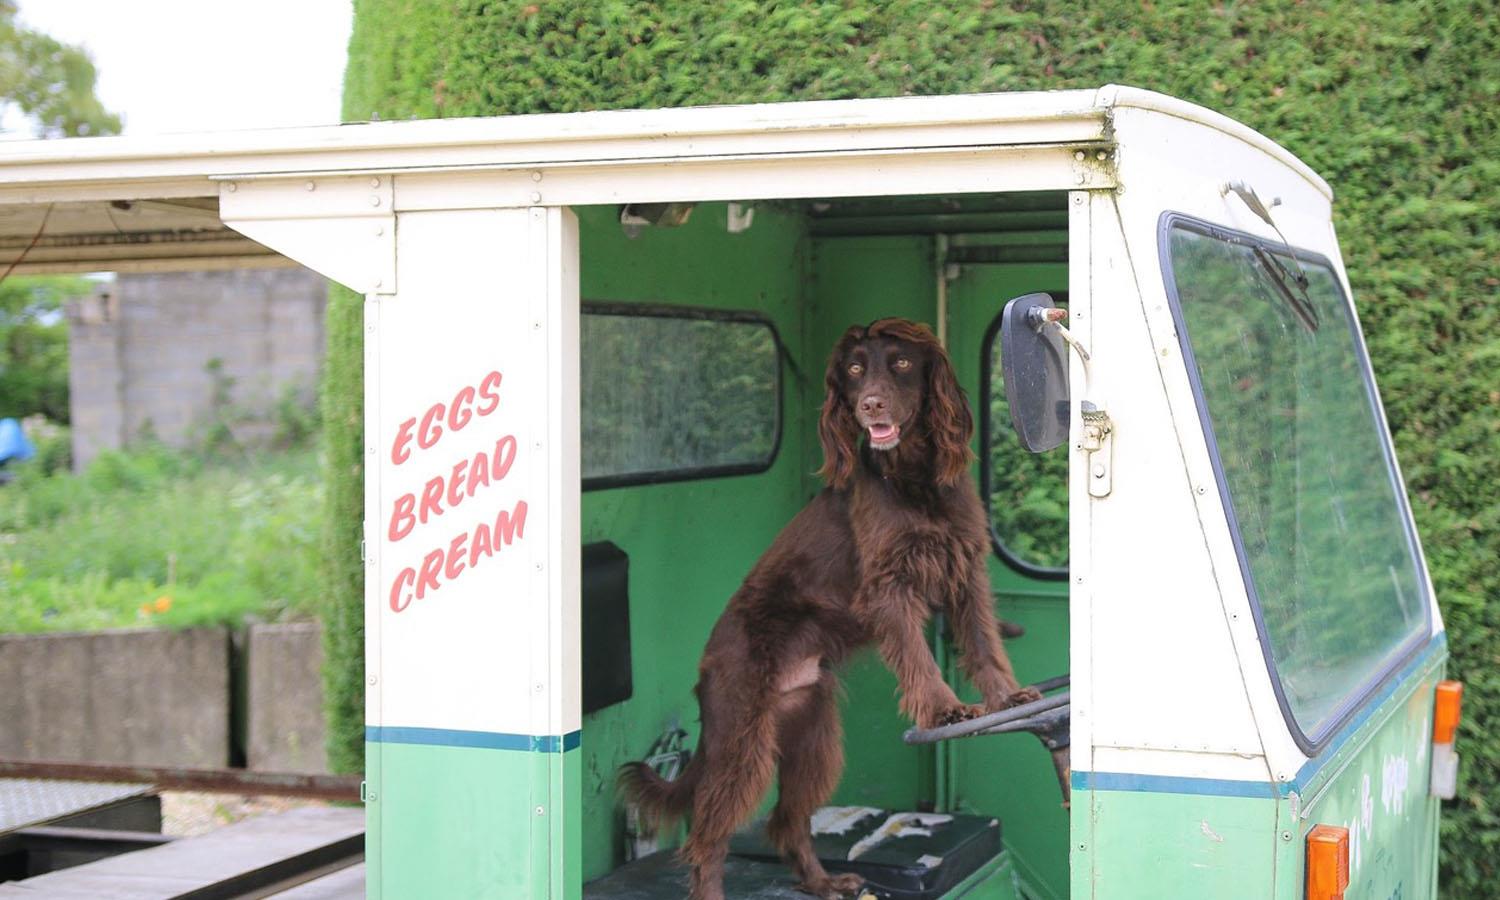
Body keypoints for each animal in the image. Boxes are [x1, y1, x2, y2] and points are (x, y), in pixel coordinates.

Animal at [615, 318, 1038, 900]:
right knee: (706, 840)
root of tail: (704, 671)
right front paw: (944, 710)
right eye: (855, 369)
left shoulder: (965, 571)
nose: (869, 405)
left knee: (785, 820)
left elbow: (983, 645)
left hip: (811, 738)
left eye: (901, 363)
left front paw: (1007, 698)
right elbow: (919, 660)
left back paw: (823, 881)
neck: (914, 477)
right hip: (742, 743)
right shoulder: (889, 584)